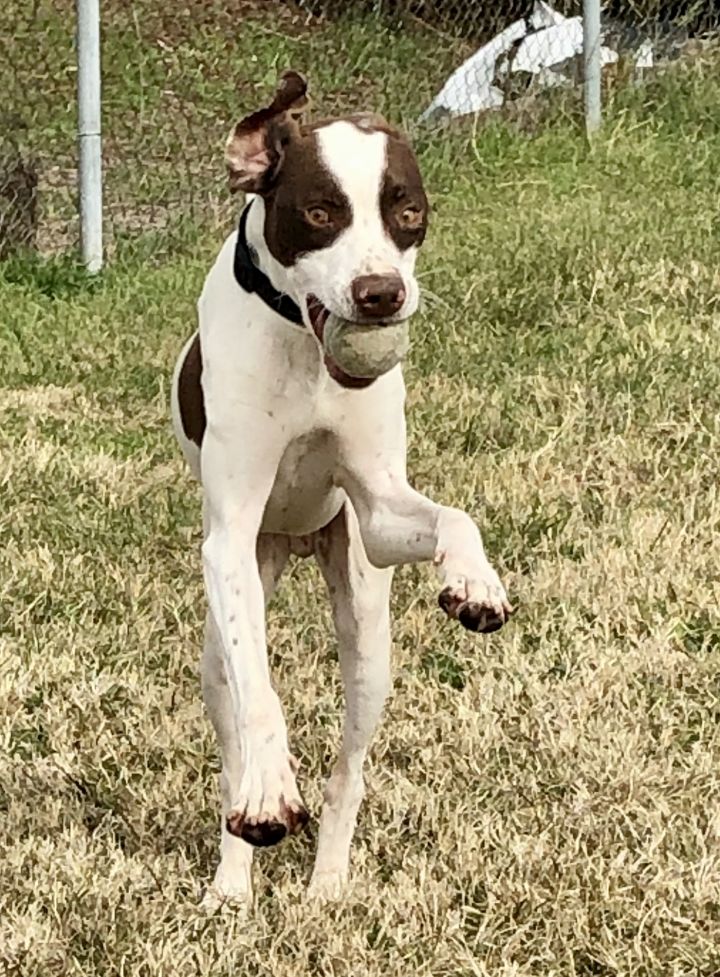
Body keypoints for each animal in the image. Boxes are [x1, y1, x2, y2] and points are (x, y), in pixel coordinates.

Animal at [169, 70, 512, 908]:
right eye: (320, 212)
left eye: (407, 211)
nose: (380, 292)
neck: (302, 344)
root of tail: (295, 541)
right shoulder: (231, 537)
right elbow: (263, 697)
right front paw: (267, 793)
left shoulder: (383, 513)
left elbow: (455, 515)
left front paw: (477, 583)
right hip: (225, 631)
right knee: (235, 726)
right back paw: (233, 879)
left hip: (368, 635)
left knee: (348, 768)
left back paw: (327, 881)